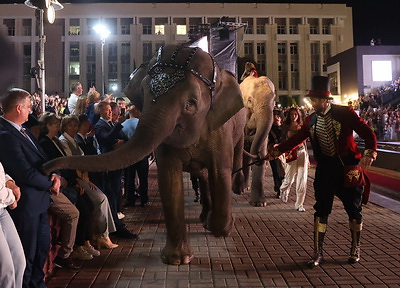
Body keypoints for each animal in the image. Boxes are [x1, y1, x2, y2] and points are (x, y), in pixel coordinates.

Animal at [42, 44, 245, 266]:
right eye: (144, 96)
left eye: (190, 104)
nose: (45, 169)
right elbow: (169, 180)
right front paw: (177, 259)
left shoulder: (221, 129)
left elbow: (220, 172)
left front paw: (223, 227)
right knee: (203, 176)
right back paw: (204, 218)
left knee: (224, 167)